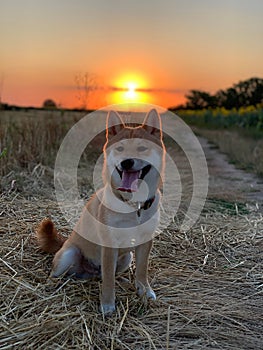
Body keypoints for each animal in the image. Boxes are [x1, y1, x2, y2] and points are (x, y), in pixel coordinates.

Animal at [36, 108, 166, 314]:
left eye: (141, 148)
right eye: (120, 149)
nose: (126, 162)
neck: (133, 205)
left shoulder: (145, 240)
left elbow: (141, 269)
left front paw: (144, 290)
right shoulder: (109, 243)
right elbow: (108, 280)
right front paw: (107, 304)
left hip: (126, 258)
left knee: (101, 274)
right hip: (69, 255)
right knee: (58, 274)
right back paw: (52, 285)